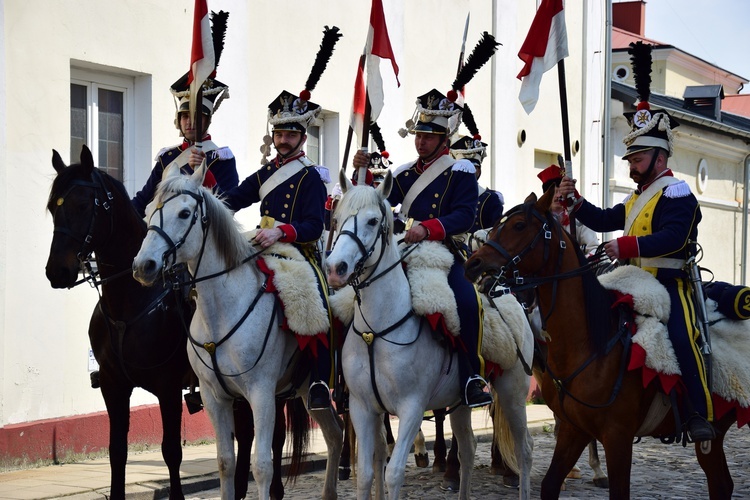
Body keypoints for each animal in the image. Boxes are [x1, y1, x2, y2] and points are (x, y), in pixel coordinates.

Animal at [43, 146, 296, 500]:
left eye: (82, 204)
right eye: (53, 207)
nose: (57, 271)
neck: (130, 303)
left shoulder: (168, 386)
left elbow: (171, 451)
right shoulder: (112, 384)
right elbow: (117, 450)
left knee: (274, 436)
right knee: (246, 434)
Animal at [134, 164, 346, 500]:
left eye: (184, 213)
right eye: (148, 212)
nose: (144, 266)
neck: (221, 311)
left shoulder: (261, 394)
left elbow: (261, 466)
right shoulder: (214, 397)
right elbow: (226, 462)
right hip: (305, 391)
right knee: (336, 435)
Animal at [328, 170, 536, 498]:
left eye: (373, 221)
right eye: (336, 219)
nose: (336, 268)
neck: (377, 330)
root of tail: (507, 294)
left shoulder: (411, 407)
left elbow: (393, 473)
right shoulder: (363, 408)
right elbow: (366, 475)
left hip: (513, 390)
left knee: (524, 448)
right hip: (462, 401)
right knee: (468, 447)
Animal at [464, 188, 740, 500]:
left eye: (519, 225)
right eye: (493, 228)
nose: (473, 264)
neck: (593, 345)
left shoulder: (617, 437)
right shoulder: (574, 429)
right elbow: (550, 483)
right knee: (721, 483)